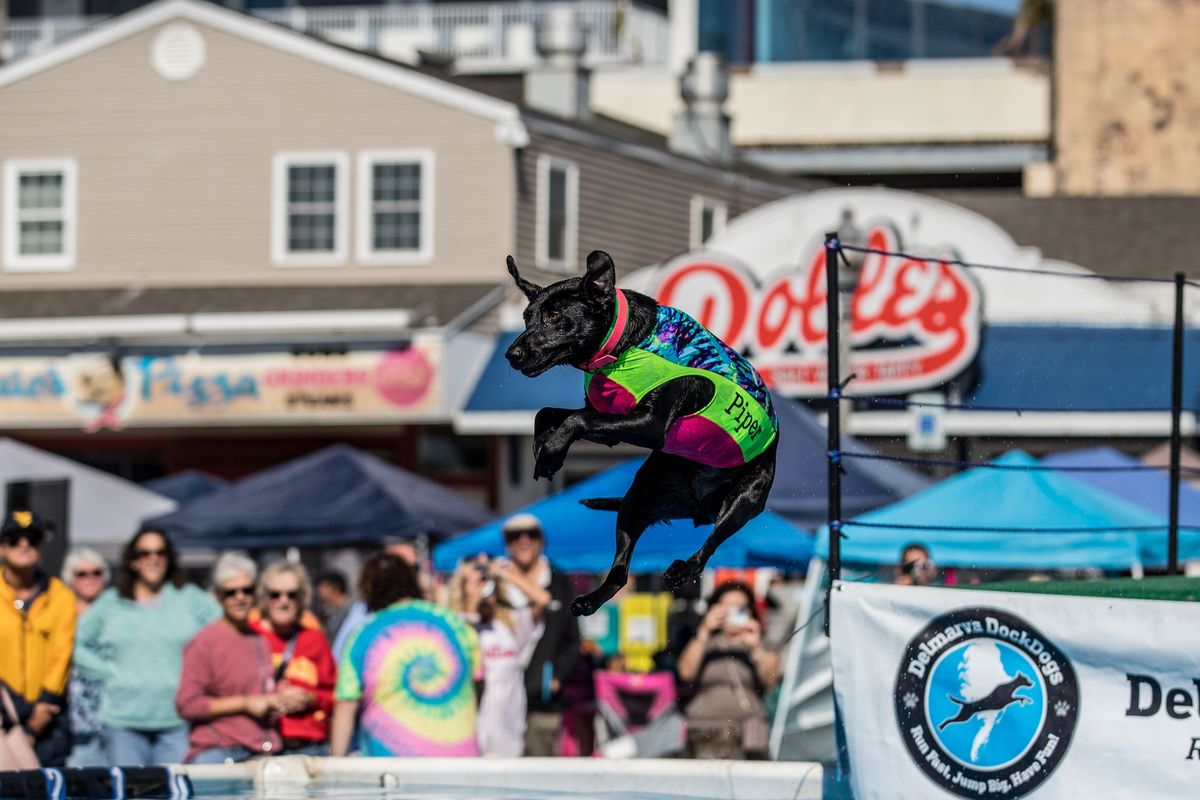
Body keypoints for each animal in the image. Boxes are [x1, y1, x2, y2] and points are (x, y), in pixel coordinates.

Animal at [504, 253, 777, 618]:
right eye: (526, 318)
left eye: (554, 316)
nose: (512, 355)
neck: (625, 344)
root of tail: (701, 509)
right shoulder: (610, 423)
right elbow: (548, 413)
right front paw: (542, 449)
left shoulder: (649, 424)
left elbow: (576, 419)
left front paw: (551, 451)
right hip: (639, 498)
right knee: (620, 573)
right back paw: (591, 600)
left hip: (744, 498)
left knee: (709, 547)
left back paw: (683, 569)